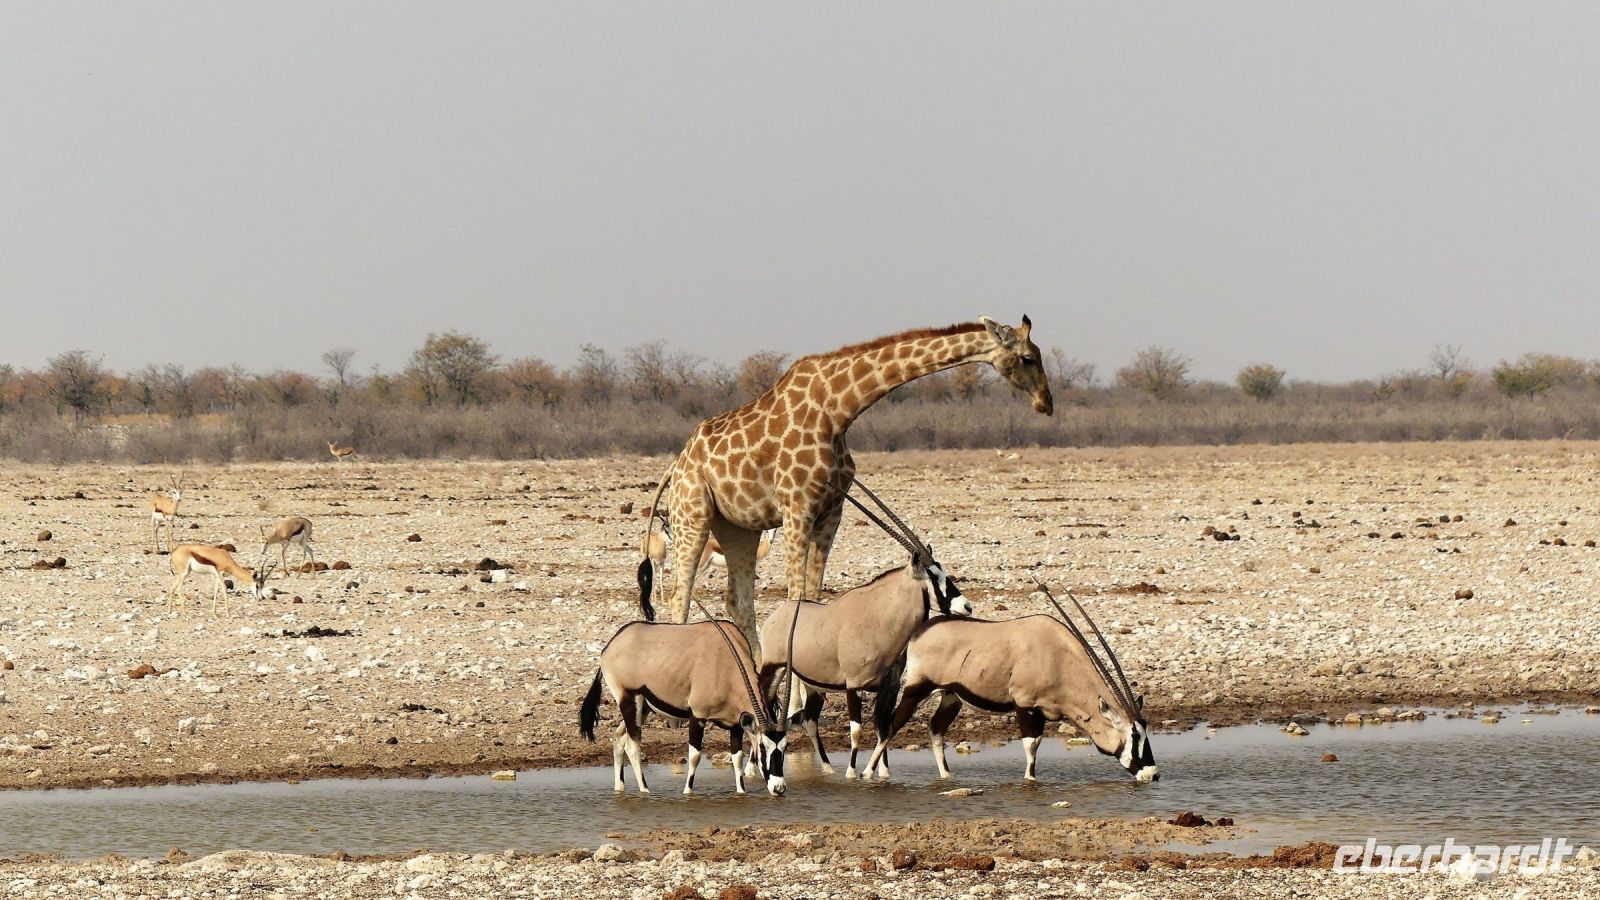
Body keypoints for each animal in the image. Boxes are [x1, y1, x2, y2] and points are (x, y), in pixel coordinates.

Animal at [644, 316, 1054, 656]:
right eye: (1029, 358)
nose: (1046, 403)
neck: (838, 410)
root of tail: (676, 466)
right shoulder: (797, 509)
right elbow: (795, 600)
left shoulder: (831, 512)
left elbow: (812, 598)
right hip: (692, 515)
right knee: (680, 596)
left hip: (738, 528)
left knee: (738, 602)